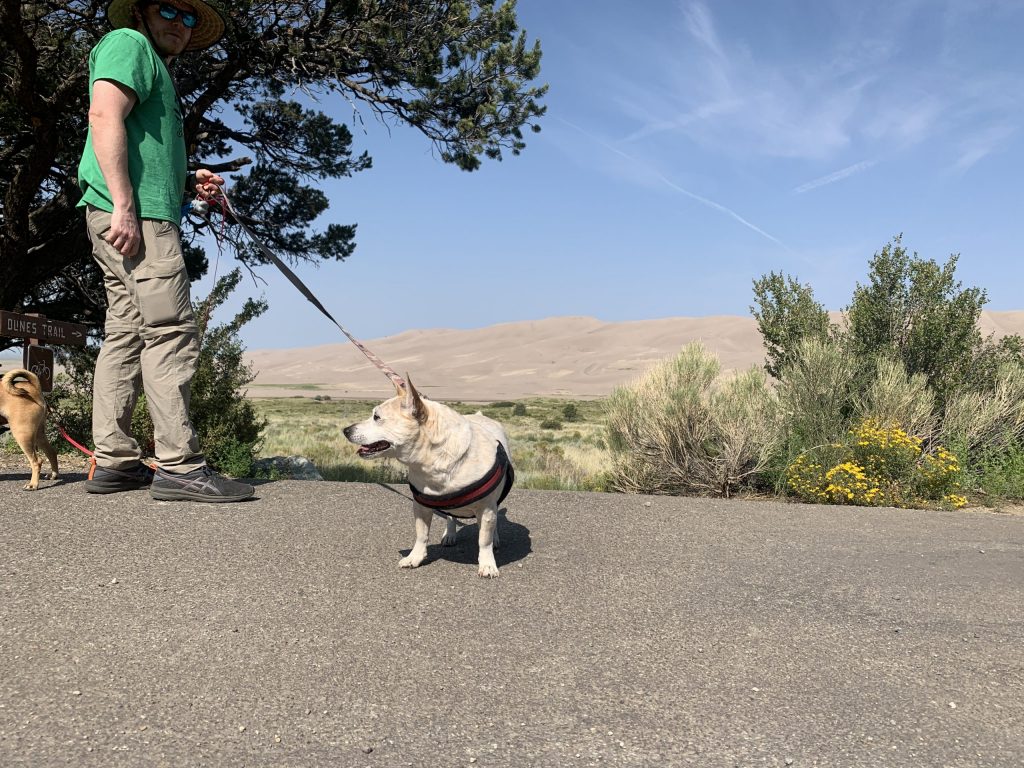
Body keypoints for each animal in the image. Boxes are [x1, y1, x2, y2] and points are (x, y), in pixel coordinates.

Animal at [344, 376, 516, 581]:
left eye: (376, 417)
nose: (345, 430)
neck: (434, 459)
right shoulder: (420, 506)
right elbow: (421, 535)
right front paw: (415, 558)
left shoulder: (486, 508)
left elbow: (484, 539)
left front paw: (488, 564)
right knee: (451, 516)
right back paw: (449, 534)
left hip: (494, 503)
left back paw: (494, 538)